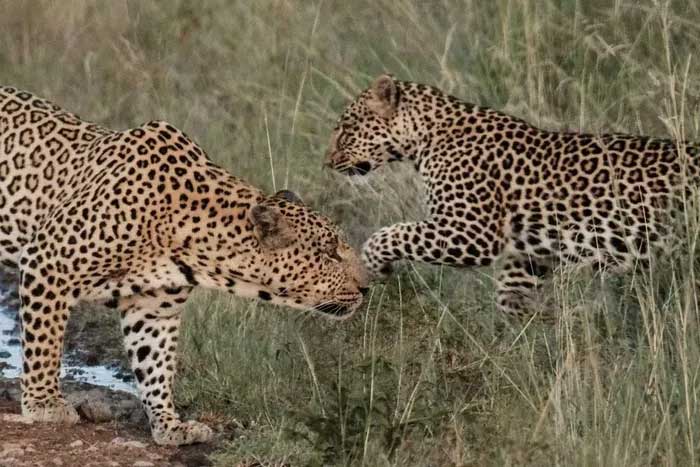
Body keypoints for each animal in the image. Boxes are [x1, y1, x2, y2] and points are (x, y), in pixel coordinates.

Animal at [0, 86, 370, 448]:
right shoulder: (48, 261)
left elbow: (155, 365)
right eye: (330, 254)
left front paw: (169, 425)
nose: (367, 287)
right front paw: (45, 403)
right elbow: (44, 341)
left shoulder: (154, 308)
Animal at [324, 75, 700, 324]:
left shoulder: (472, 233)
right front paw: (546, 320)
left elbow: (394, 233)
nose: (326, 163)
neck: (426, 138)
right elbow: (509, 295)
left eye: (345, 129)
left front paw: (373, 263)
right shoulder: (531, 249)